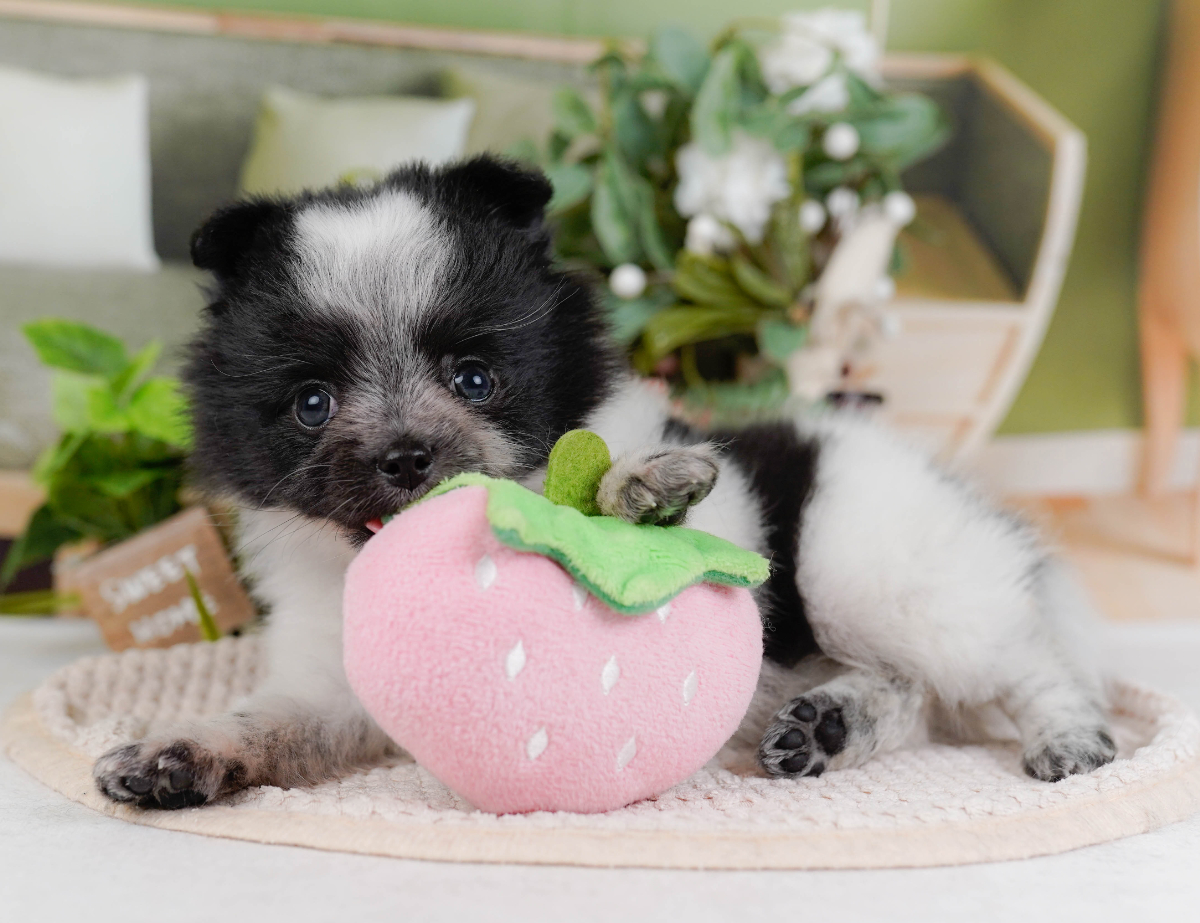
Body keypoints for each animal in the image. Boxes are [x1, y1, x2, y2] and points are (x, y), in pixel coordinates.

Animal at [93, 156, 1116, 809]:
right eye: (313, 402)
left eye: (475, 378)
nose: (406, 456)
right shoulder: (334, 678)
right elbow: (274, 719)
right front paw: (182, 752)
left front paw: (640, 487)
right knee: (916, 692)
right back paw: (831, 723)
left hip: (867, 567)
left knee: (1009, 659)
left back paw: (1068, 734)